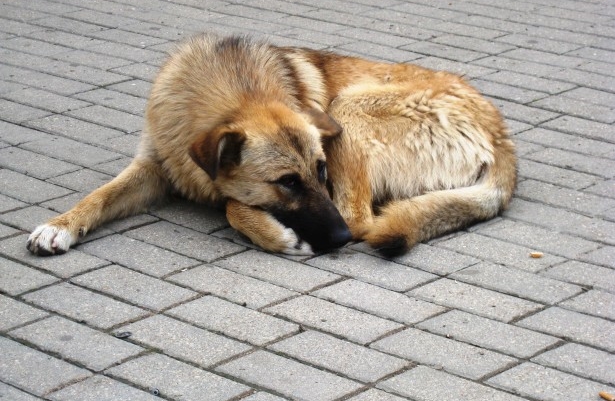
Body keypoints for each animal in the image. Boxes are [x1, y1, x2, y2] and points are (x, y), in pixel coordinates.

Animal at [25, 32, 516, 256]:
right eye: (288, 182)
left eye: (320, 170)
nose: (336, 240)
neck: (232, 88)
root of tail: (501, 139)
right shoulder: (152, 165)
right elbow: (99, 195)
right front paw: (60, 225)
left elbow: (230, 203)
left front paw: (275, 233)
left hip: (348, 110)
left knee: (361, 219)